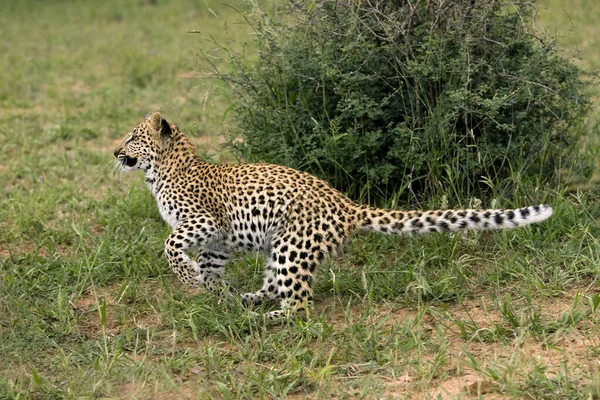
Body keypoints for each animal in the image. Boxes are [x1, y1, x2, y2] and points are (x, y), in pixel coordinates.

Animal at [112, 111, 552, 318]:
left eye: (132, 138)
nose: (115, 152)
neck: (160, 172)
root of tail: (346, 203)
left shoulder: (204, 222)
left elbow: (170, 244)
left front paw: (190, 280)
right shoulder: (216, 242)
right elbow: (209, 269)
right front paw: (216, 296)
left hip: (292, 247)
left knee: (301, 307)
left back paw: (267, 319)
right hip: (281, 247)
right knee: (275, 286)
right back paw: (250, 301)